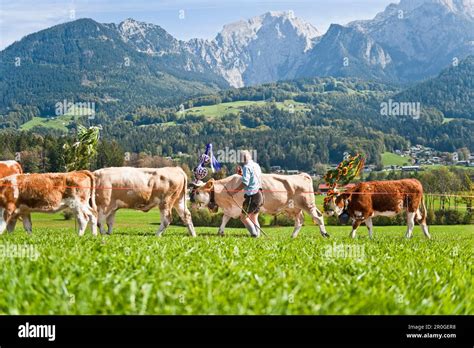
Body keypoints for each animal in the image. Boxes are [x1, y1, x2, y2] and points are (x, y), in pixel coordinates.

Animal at [189, 173, 330, 238]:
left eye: (197, 192)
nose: (190, 198)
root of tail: (302, 175)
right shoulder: (232, 209)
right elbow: (225, 219)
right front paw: (221, 232)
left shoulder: (244, 207)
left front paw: (254, 233)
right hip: (294, 208)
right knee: (300, 221)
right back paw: (293, 236)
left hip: (307, 204)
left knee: (318, 217)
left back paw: (324, 233)